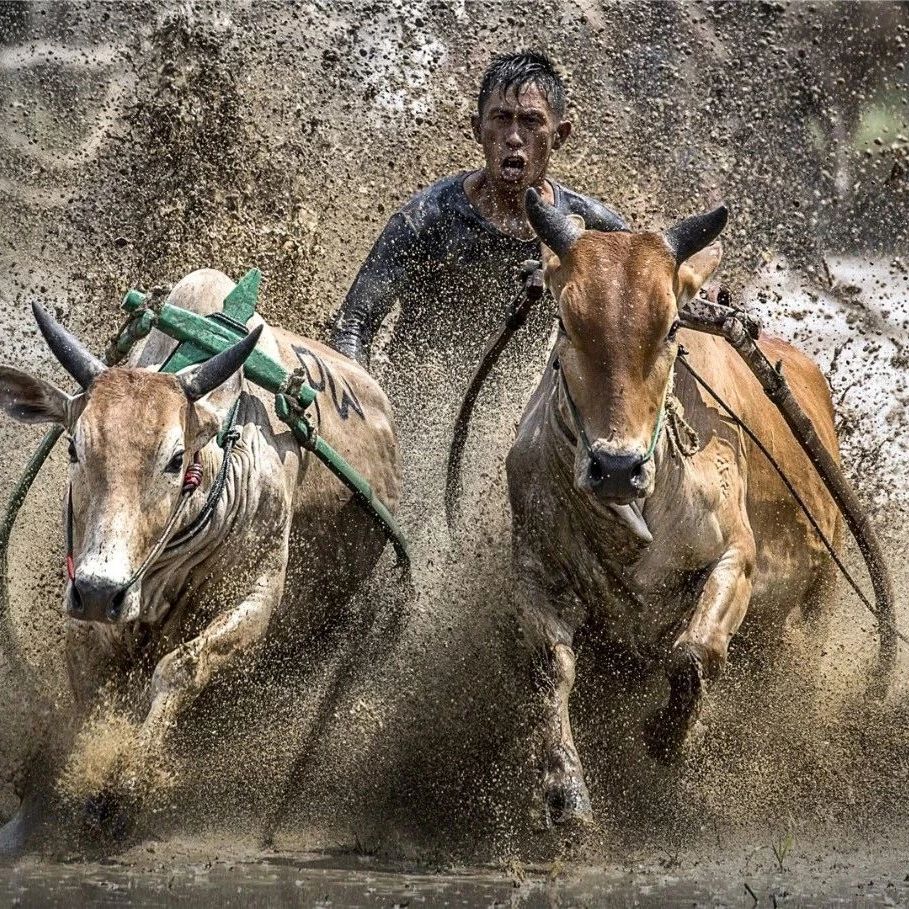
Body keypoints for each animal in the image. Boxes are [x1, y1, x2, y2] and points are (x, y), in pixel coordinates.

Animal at [0, 270, 400, 852]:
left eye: (175, 459)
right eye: (74, 447)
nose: (100, 590)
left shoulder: (256, 599)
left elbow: (181, 667)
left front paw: (125, 787)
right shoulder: (86, 608)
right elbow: (94, 696)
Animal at [510, 190, 844, 824]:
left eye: (669, 328)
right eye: (565, 321)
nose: (617, 467)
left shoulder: (736, 557)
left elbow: (694, 653)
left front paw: (670, 738)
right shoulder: (535, 566)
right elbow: (548, 670)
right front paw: (565, 790)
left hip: (814, 602)